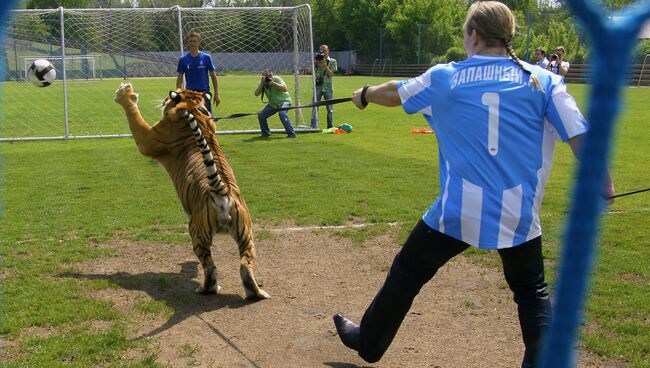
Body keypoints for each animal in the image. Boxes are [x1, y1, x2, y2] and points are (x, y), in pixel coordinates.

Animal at [114, 82, 268, 300]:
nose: (164, 98)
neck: (193, 107)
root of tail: (221, 193)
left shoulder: (147, 140)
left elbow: (134, 115)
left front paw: (126, 94)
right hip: (247, 234)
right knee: (245, 264)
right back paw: (257, 293)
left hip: (197, 232)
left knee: (210, 267)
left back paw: (207, 289)